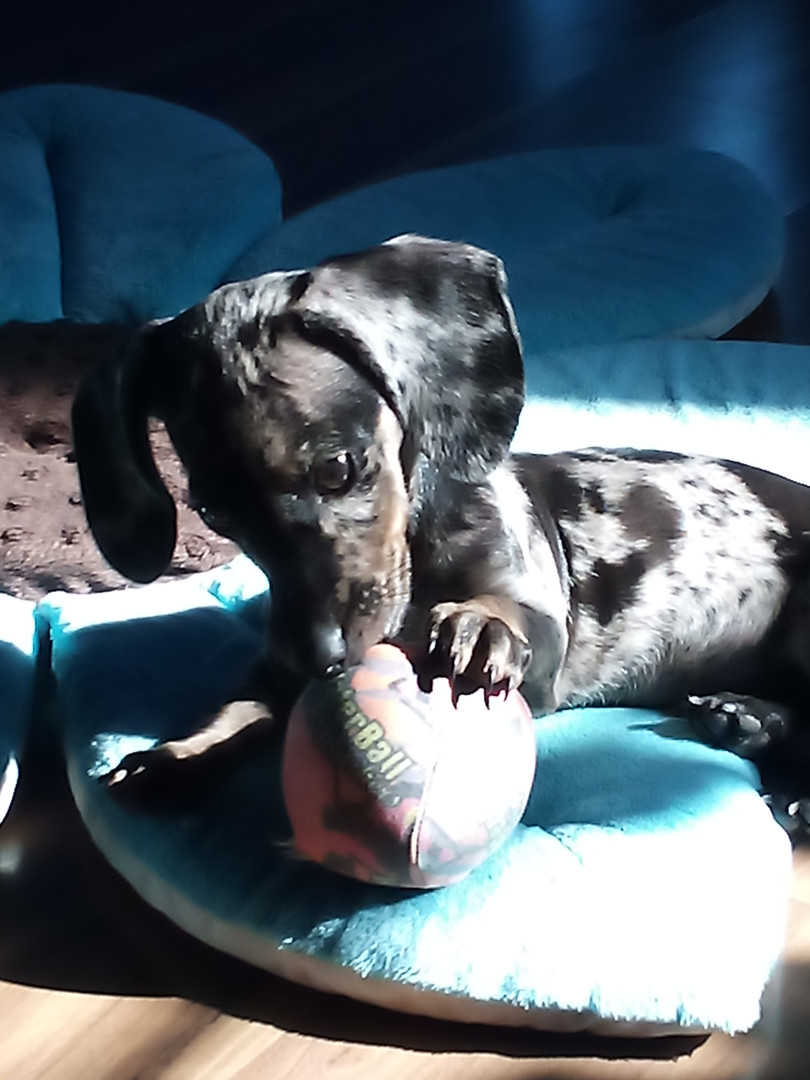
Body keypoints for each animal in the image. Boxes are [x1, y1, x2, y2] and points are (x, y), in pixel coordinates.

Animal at [71, 234, 810, 822]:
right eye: (214, 514)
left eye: (338, 468)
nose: (317, 660)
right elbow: (239, 704)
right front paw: (178, 754)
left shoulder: (543, 632)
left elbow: (509, 618)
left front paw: (480, 625)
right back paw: (750, 720)